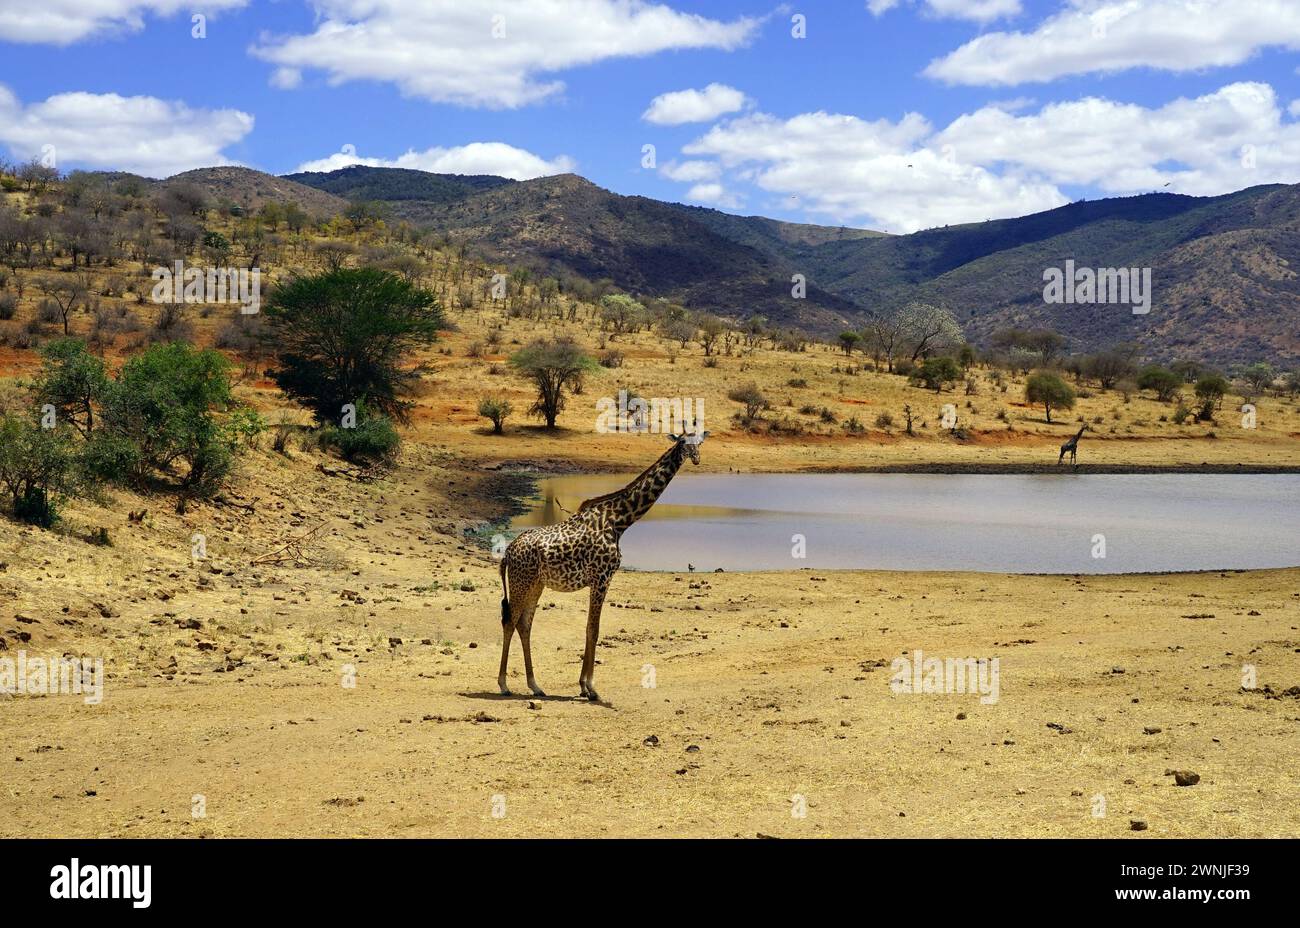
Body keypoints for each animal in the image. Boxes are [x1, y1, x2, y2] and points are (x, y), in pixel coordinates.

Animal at [493, 428, 712, 696]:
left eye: (699, 443)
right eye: (682, 442)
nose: (696, 459)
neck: (619, 521)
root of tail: (508, 552)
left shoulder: (601, 580)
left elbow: (590, 628)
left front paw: (583, 686)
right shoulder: (601, 578)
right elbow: (593, 629)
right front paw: (590, 688)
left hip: (536, 584)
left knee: (524, 624)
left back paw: (535, 685)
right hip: (521, 582)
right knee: (510, 621)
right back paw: (503, 684)